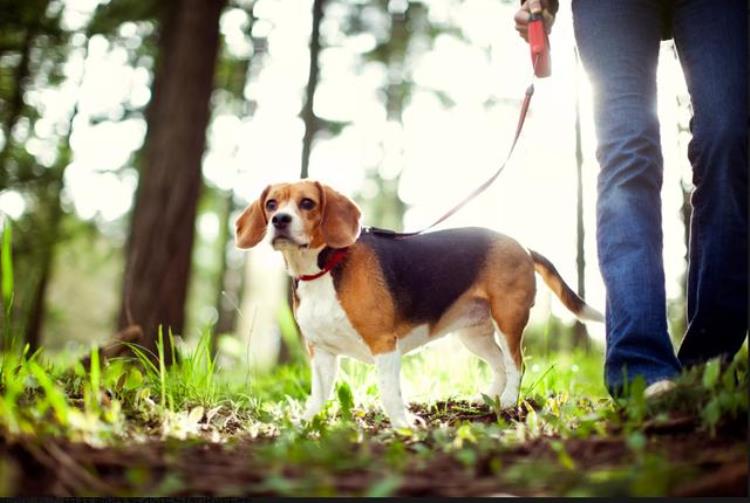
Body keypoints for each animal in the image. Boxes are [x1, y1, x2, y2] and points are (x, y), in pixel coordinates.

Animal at [236, 179, 604, 428]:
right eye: (271, 204)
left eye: (308, 203)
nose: (280, 221)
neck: (324, 267)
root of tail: (523, 246)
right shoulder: (322, 352)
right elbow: (318, 395)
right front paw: (307, 423)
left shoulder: (384, 345)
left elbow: (389, 393)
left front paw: (403, 426)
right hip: (474, 334)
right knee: (499, 364)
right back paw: (490, 399)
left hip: (508, 319)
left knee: (516, 364)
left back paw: (510, 401)